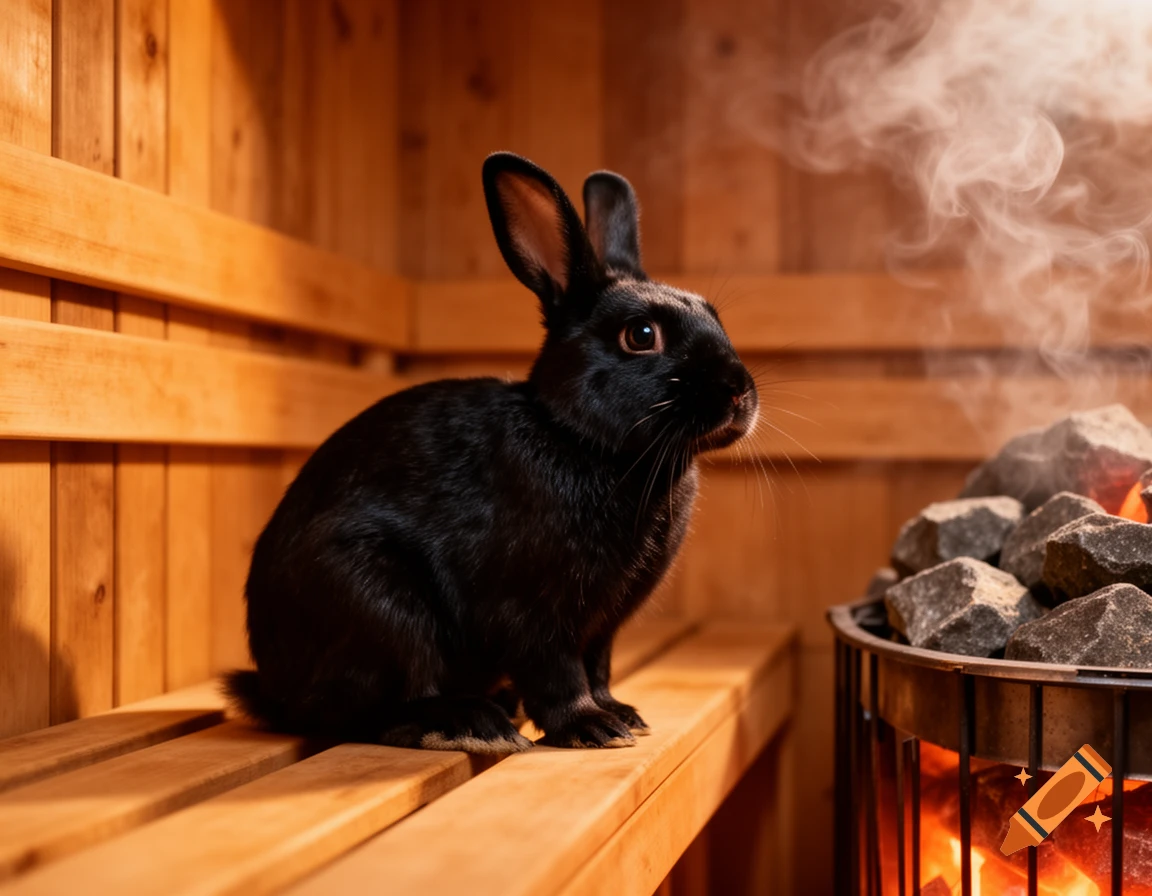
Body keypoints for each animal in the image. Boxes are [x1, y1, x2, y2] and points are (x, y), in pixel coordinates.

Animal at [225, 152, 759, 752]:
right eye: (641, 335)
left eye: (715, 315)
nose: (738, 390)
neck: (579, 439)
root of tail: (276, 688)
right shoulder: (530, 610)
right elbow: (557, 671)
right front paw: (590, 728)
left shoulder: (602, 626)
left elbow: (597, 667)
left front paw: (620, 714)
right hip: (380, 603)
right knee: (373, 710)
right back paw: (469, 722)